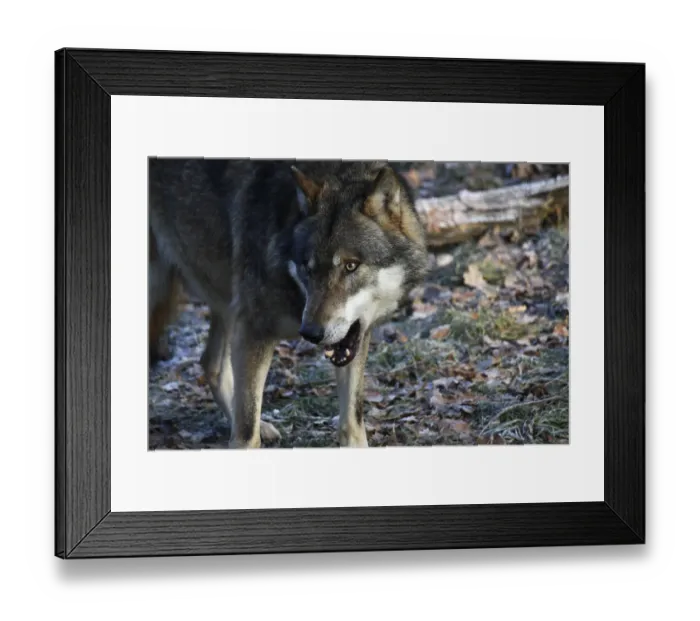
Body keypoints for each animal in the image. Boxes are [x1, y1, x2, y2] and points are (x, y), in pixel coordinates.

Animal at [148, 158, 429, 448]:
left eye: (351, 266)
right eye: (308, 268)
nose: (311, 333)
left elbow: (352, 421)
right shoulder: (252, 329)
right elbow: (246, 434)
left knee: (210, 365)